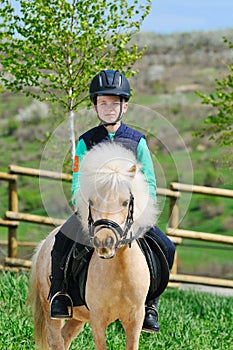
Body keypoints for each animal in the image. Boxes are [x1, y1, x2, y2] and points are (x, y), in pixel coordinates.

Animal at [27, 143, 158, 350]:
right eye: (92, 202)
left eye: (125, 202)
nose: (104, 242)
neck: (120, 271)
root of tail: (44, 243)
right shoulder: (98, 319)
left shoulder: (135, 319)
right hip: (51, 309)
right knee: (56, 340)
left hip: (78, 317)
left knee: (65, 337)